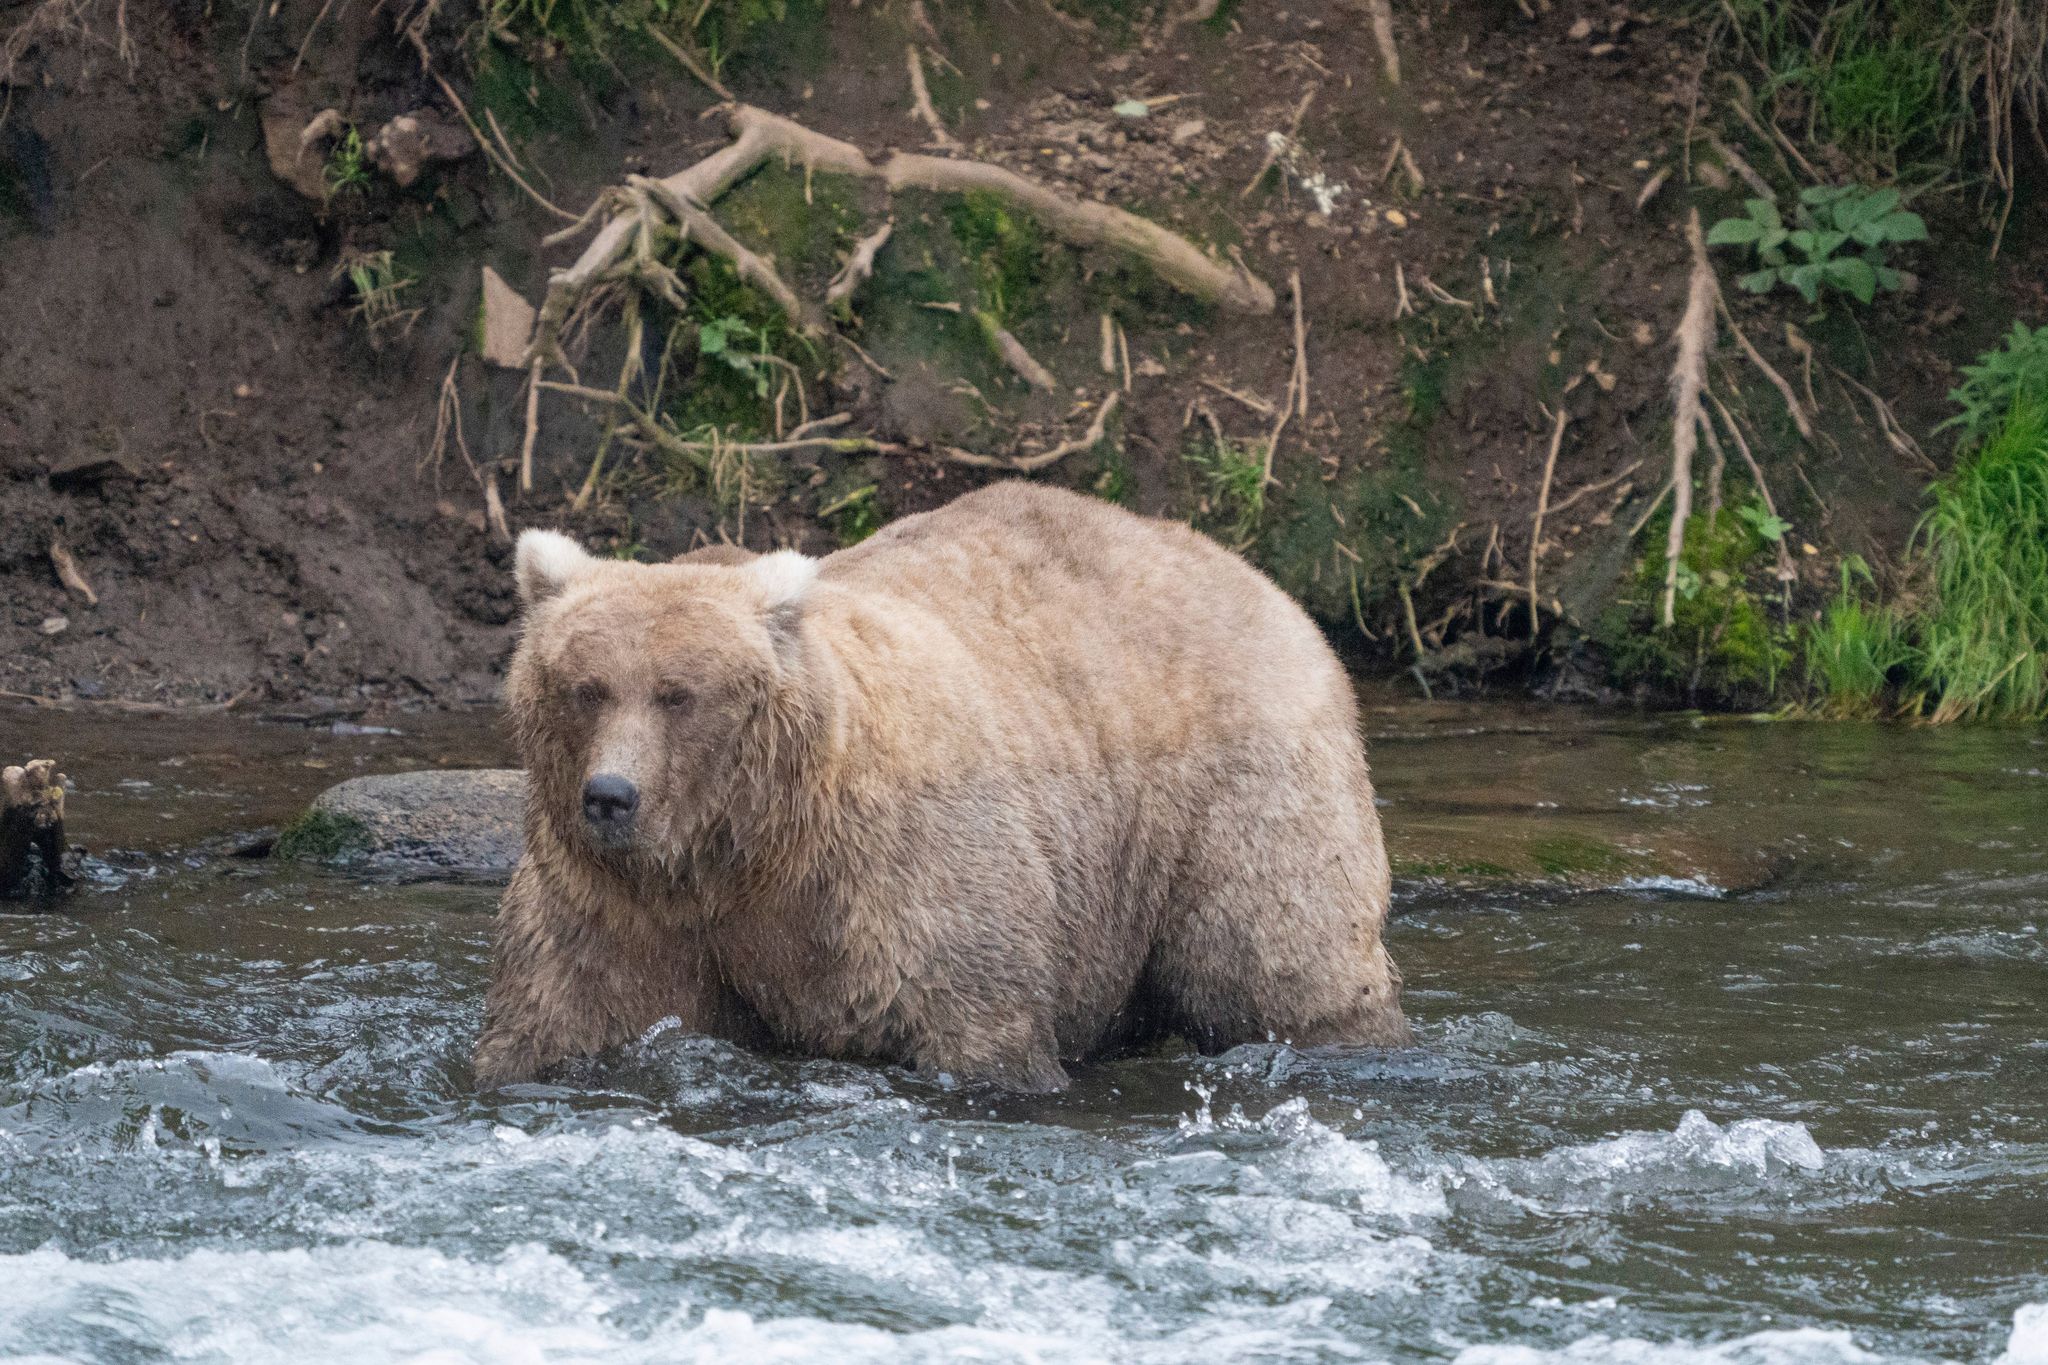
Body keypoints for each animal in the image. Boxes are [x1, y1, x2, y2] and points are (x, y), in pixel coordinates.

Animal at [474, 482, 1406, 1090]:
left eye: (678, 693)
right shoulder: (618, 904)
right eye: (585, 686)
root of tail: (1255, 577)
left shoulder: (898, 877)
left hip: (1235, 792)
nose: (610, 795)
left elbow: (972, 1020)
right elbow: (564, 1012)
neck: (747, 847)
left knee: (1277, 958)